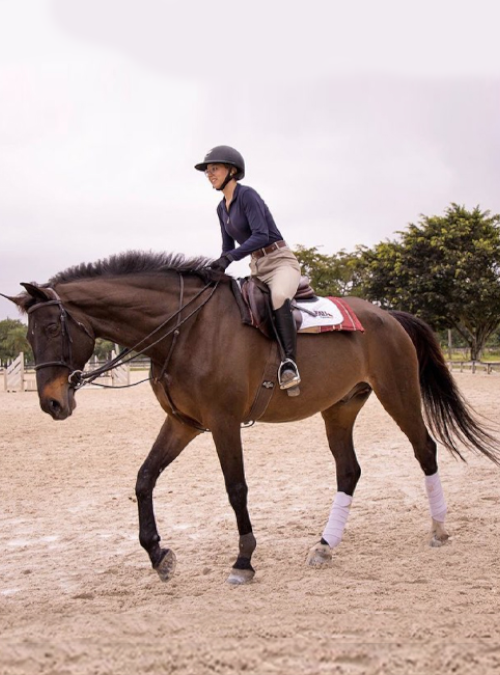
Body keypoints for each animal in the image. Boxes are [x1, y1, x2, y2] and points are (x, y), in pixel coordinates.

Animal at [6, 251, 499, 585]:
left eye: (50, 328)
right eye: (28, 335)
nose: (52, 404)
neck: (185, 329)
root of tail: (387, 315)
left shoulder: (222, 423)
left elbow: (236, 488)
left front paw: (243, 561)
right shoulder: (183, 423)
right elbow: (144, 479)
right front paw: (158, 554)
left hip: (398, 393)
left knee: (425, 449)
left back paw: (438, 529)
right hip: (340, 409)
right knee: (349, 471)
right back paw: (325, 546)